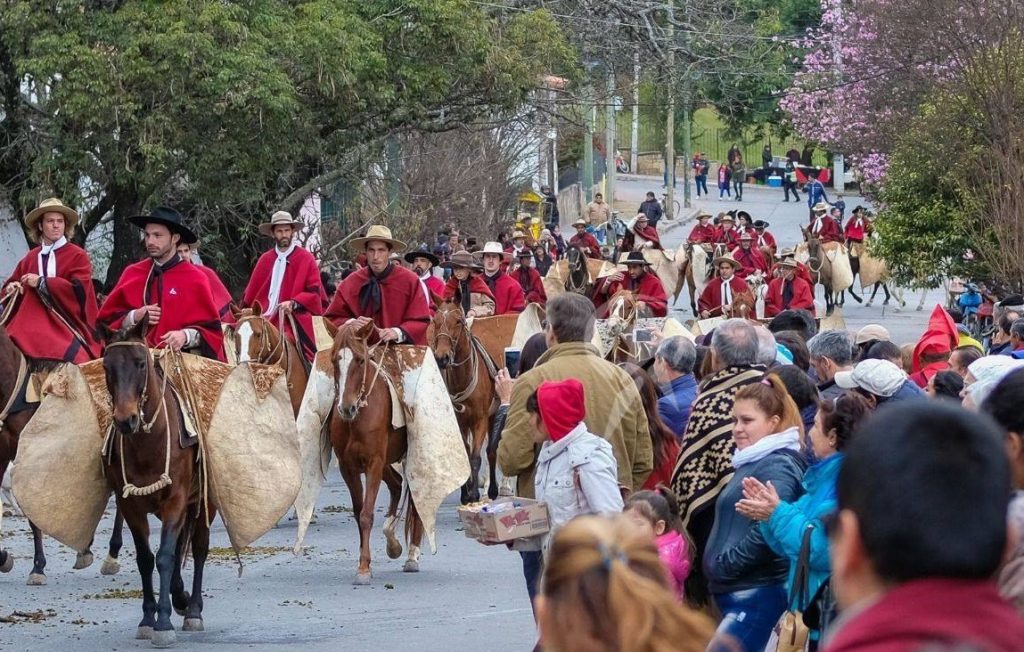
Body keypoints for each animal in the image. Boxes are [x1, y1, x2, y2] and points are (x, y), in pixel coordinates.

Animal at [101, 317, 216, 646]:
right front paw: (148, 618)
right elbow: (146, 558)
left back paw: (192, 609)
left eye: (141, 363)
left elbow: (165, 556)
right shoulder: (129, 505)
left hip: (204, 502)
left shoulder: (175, 500)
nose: (125, 420)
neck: (147, 443)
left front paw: (163, 622)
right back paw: (179, 596)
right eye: (107, 366)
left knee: (199, 548)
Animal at [329, 323, 421, 581]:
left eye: (360, 360)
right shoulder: (348, 467)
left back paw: (412, 555)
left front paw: (363, 568)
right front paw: (364, 562)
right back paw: (392, 541)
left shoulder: (373, 464)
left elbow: (367, 514)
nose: (346, 408)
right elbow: (359, 511)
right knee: (397, 485)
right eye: (334, 359)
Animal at [428, 300, 499, 503]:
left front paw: (474, 493)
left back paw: (492, 490)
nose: (442, 357)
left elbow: (475, 457)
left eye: (458, 321)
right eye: (435, 321)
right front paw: (466, 493)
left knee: (491, 452)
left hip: (491, 417)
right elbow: (465, 455)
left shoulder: (480, 420)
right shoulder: (460, 423)